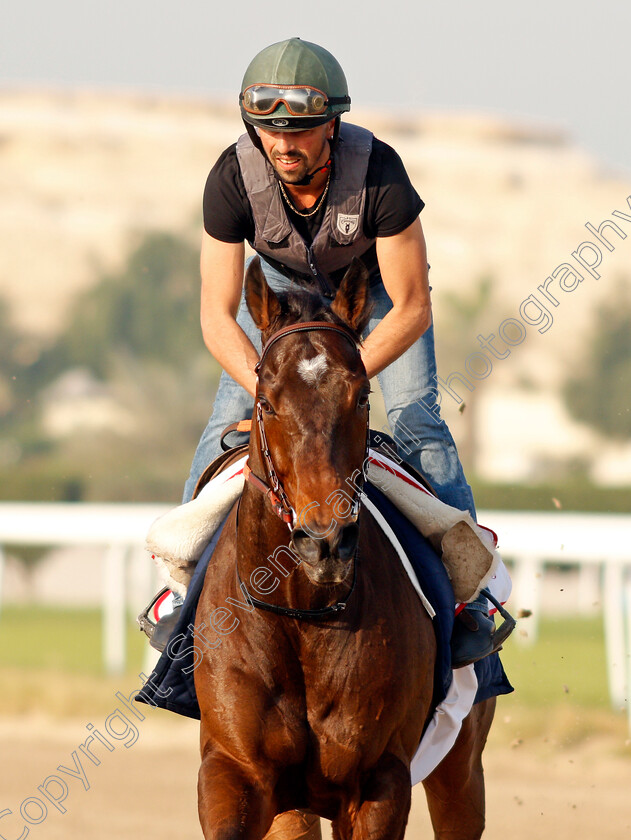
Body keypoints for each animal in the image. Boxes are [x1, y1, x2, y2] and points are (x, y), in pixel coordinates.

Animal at [195, 258, 496, 840]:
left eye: (360, 397)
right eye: (266, 401)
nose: (324, 544)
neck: (302, 615)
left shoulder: (378, 780)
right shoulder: (234, 770)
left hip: (462, 764)